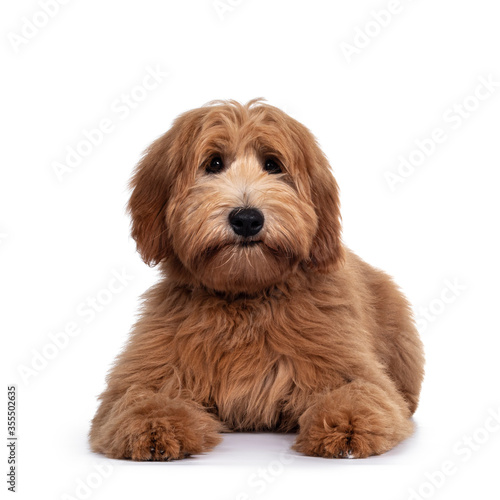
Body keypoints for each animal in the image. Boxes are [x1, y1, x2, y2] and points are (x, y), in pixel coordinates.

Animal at [89, 98, 422, 460]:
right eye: (214, 163)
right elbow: (141, 398)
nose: (247, 219)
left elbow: (360, 393)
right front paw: (153, 427)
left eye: (273, 165)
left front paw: (347, 425)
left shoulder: (346, 364)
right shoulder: (150, 371)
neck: (245, 298)